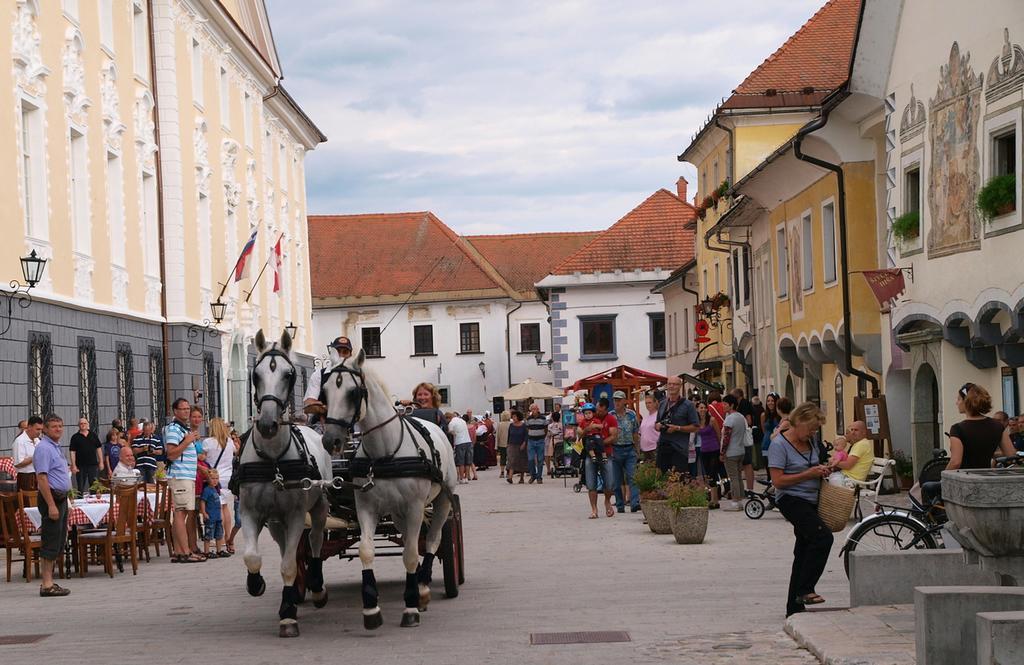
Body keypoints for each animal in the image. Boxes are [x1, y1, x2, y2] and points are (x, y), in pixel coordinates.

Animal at [235, 329, 331, 635]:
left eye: (289, 375)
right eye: (256, 374)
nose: (267, 424)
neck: (274, 460)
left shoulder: (297, 514)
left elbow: (289, 565)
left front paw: (288, 614)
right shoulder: (250, 512)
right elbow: (253, 557)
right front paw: (256, 584)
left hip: (319, 506)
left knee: (314, 541)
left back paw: (316, 586)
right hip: (276, 521)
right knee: (283, 546)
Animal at [319, 348, 456, 627]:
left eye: (353, 392)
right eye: (324, 392)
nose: (330, 440)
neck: (384, 453)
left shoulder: (415, 507)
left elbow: (412, 553)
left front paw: (411, 606)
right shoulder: (367, 507)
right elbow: (366, 550)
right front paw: (371, 607)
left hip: (442, 501)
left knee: (432, 539)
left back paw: (423, 587)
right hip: (397, 512)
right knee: (407, 538)